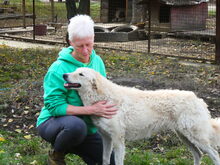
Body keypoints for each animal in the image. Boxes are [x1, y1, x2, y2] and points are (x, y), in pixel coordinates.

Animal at [63, 67, 220, 165]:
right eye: (75, 71)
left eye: (81, 74)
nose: (64, 75)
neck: (104, 97)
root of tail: (198, 99)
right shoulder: (106, 138)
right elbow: (105, 160)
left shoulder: (118, 140)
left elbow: (117, 162)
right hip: (184, 136)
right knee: (198, 154)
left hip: (196, 137)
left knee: (214, 155)